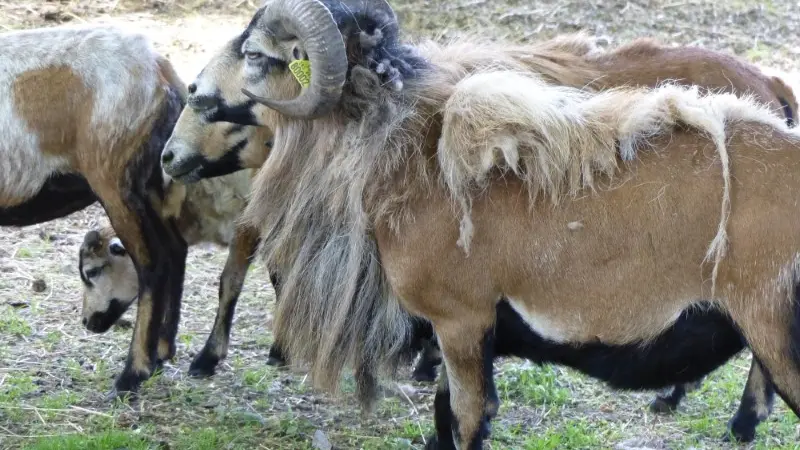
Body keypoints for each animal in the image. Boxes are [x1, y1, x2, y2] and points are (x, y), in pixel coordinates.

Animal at [0, 23, 198, 397]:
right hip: (153, 182)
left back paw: (132, 374)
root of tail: (157, 66)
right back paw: (162, 352)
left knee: (153, 263)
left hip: (114, 177)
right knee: (176, 249)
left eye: (91, 273)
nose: (87, 323)